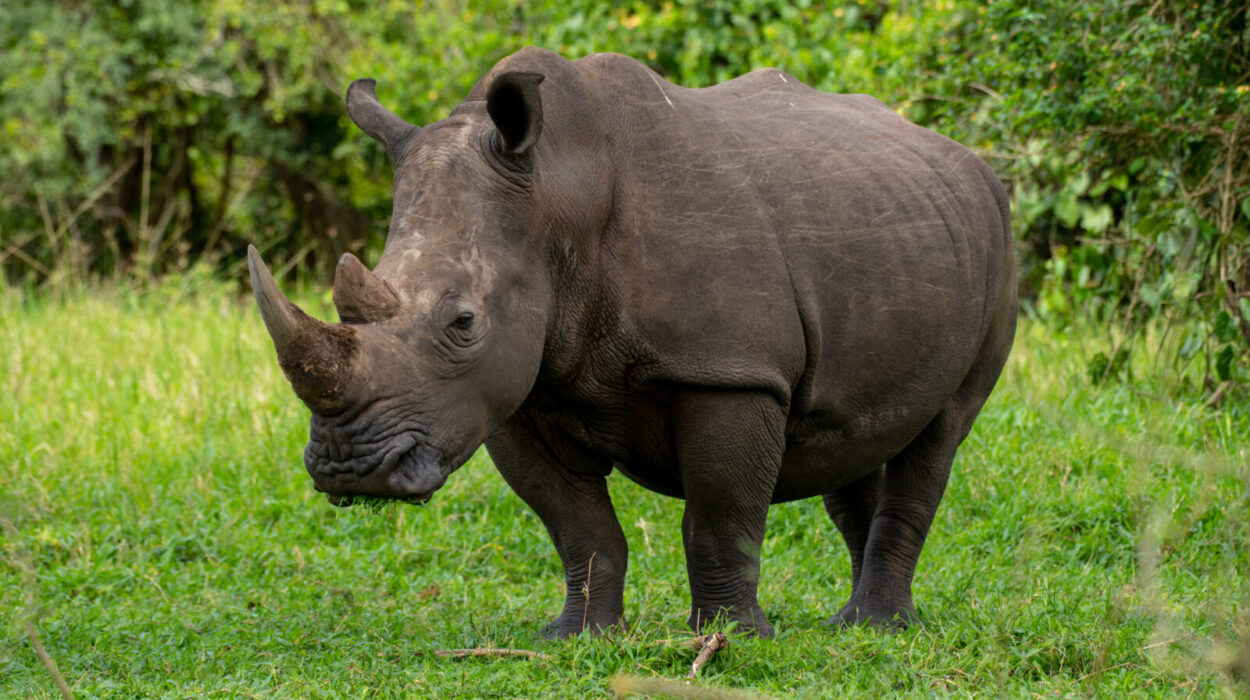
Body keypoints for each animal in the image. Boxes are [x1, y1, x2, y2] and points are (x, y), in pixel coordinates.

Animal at [248, 47, 1016, 638]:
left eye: (462, 323)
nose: (350, 471)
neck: (557, 194)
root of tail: (967, 159)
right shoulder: (513, 391)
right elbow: (577, 525)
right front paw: (578, 637)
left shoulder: (727, 370)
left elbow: (720, 516)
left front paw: (732, 639)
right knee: (852, 434)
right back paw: (849, 624)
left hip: (995, 238)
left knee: (941, 432)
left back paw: (878, 627)